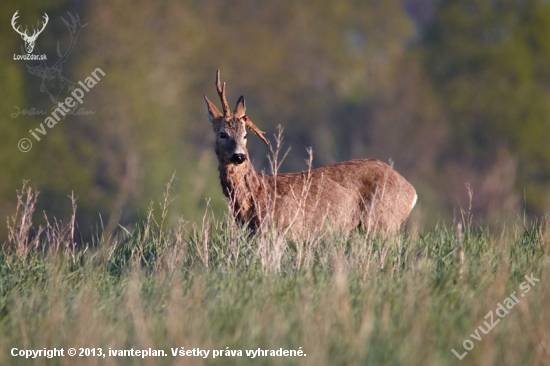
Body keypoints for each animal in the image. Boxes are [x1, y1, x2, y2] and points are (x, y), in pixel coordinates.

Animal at [204, 71, 418, 236]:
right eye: (222, 134)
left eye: (245, 134)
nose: (239, 156)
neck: (257, 195)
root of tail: (411, 191)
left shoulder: (290, 228)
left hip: (383, 221)